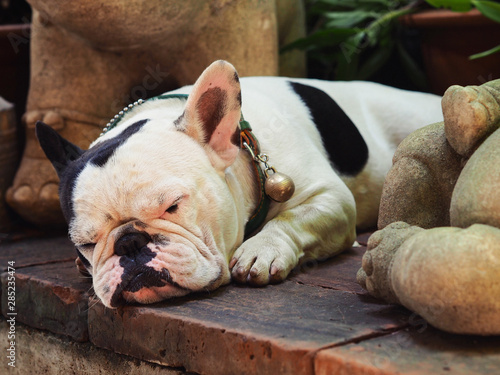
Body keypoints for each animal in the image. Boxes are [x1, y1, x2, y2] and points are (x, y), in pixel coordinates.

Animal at [36, 61, 442, 308]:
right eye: (85, 244)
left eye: (174, 206)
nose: (129, 242)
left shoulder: (331, 198)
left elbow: (294, 220)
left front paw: (261, 249)